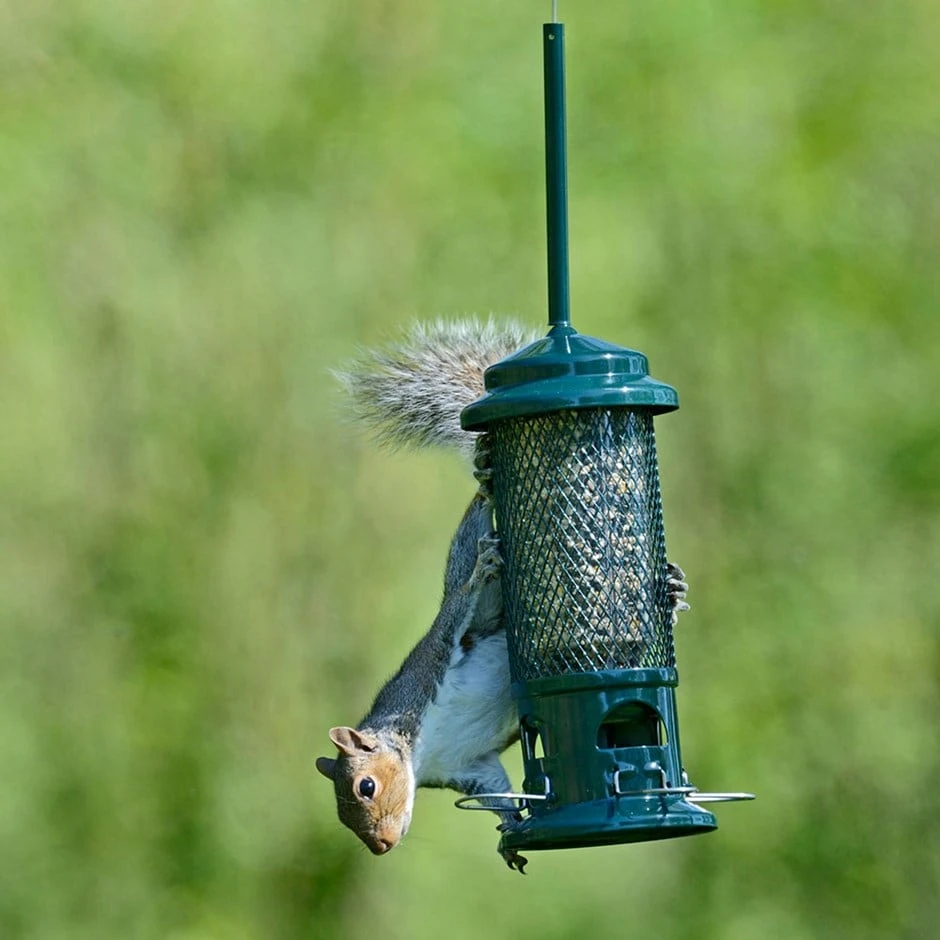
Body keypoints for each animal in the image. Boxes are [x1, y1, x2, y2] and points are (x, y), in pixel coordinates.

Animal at [317, 319, 690, 874]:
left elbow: (457, 612)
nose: (381, 845)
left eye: (366, 786)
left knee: (479, 539)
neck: (421, 748)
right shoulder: (470, 767)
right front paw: (511, 835)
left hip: (488, 598)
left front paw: (473, 579)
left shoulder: (432, 666)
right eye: (343, 815)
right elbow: (496, 794)